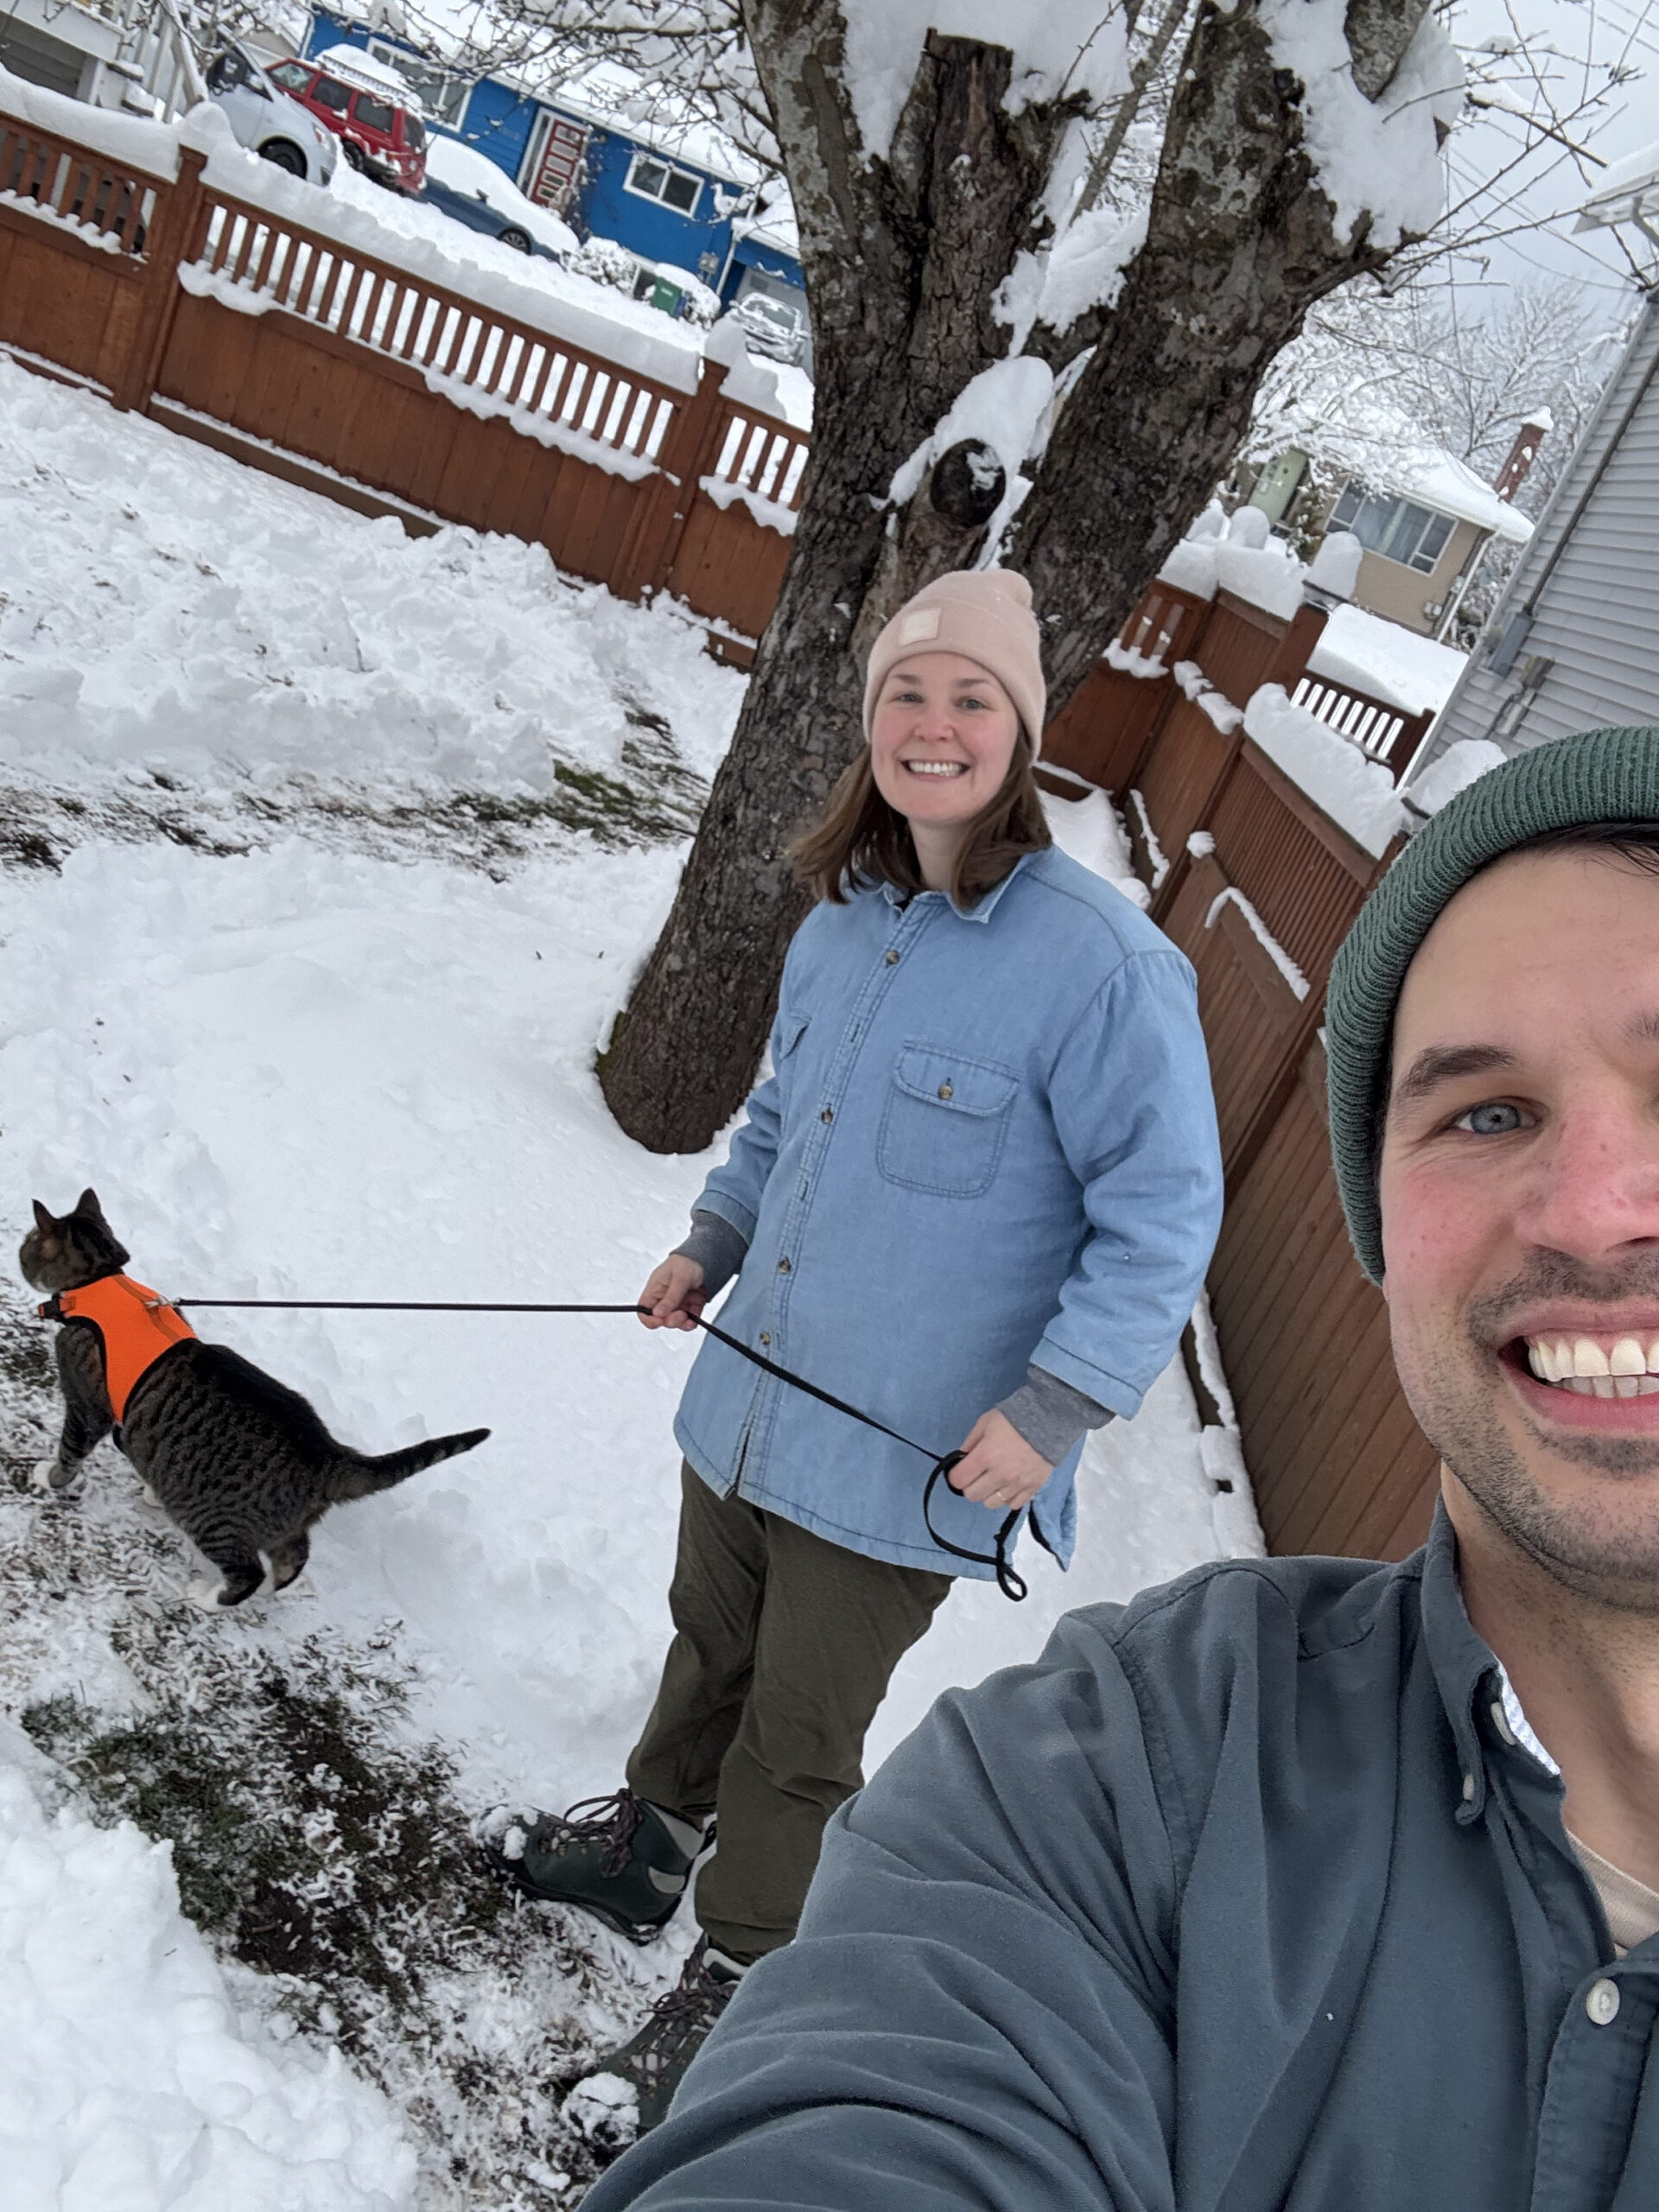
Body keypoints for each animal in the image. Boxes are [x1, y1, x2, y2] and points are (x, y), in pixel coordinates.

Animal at [19, 1194, 486, 1610]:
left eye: (27, 1244)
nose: (20, 1256)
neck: (100, 1280)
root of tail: (330, 1455)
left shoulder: (87, 1406)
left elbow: (71, 1451)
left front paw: (52, 1478)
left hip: (212, 1519)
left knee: (248, 1573)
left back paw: (210, 1598)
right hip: (281, 1525)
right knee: (293, 1557)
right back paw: (271, 1590)